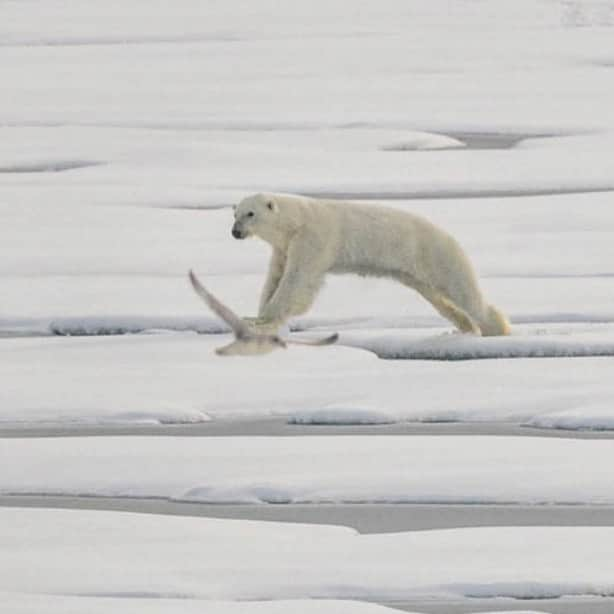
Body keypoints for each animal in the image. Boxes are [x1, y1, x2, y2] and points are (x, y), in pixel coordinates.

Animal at [231, 192, 510, 336]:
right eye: (235, 213)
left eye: (250, 213)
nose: (235, 232)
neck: (296, 220)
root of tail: (450, 238)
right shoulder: (284, 248)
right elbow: (275, 277)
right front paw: (255, 315)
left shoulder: (313, 238)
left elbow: (297, 279)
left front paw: (262, 319)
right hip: (418, 273)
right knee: (439, 299)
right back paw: (465, 327)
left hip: (436, 256)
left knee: (464, 293)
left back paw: (497, 328)